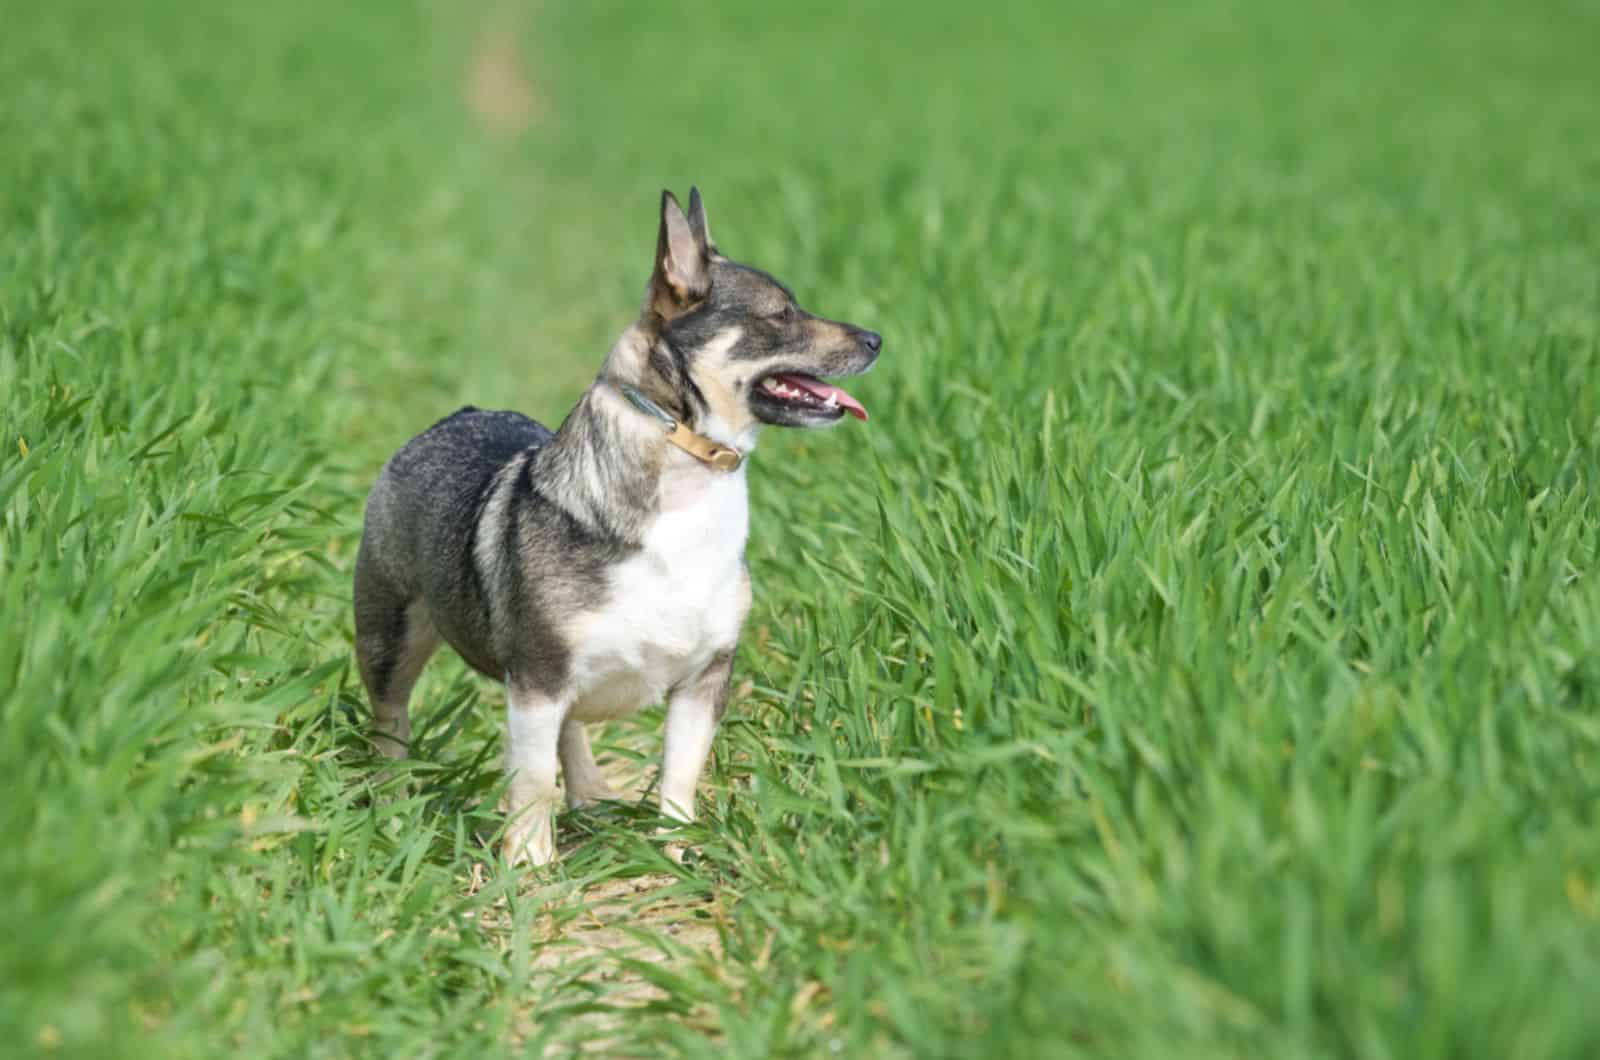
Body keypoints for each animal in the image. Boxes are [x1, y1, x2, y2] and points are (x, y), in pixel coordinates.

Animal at [352, 191, 883, 871]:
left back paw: (592, 794)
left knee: (572, 732)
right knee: (391, 722)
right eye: (781, 315)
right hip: (390, 638)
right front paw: (530, 866)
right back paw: (393, 806)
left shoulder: (702, 681)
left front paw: (675, 854)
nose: (875, 338)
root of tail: (451, 419)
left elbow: (680, 776)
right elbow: (531, 782)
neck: (684, 466)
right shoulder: (537, 681)